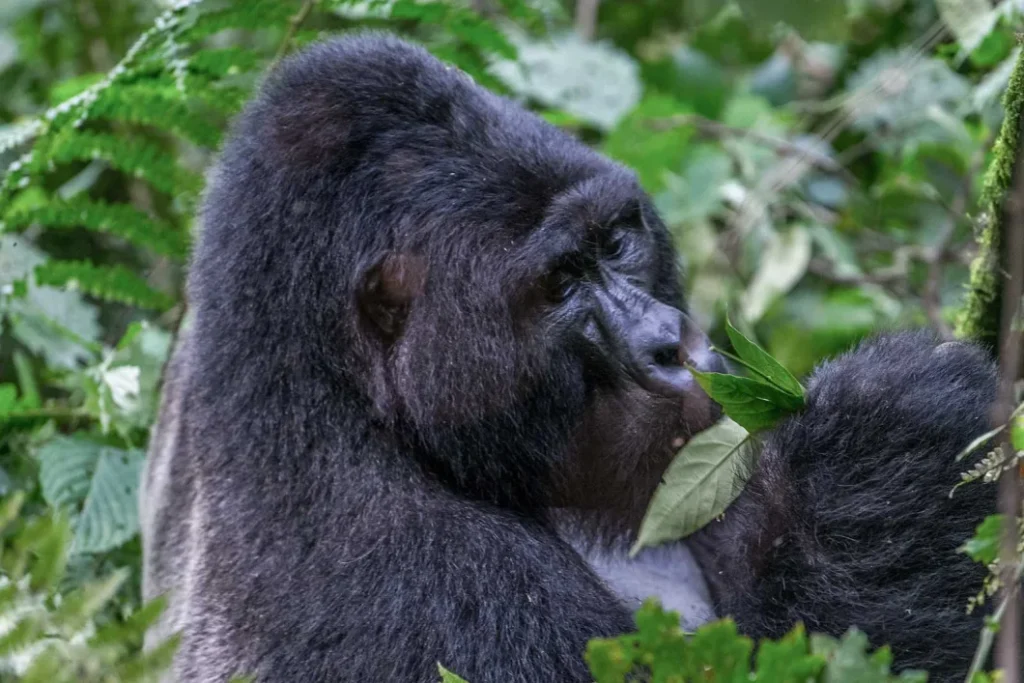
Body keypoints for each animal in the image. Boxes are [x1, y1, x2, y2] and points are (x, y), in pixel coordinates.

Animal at [140, 32, 1000, 683]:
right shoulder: (407, 575)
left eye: (617, 241)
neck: (325, 385)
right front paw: (892, 447)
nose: (668, 343)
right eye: (559, 283)